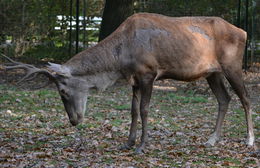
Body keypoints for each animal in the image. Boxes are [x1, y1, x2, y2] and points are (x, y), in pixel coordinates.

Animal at [1, 12, 254, 153]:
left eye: (62, 91)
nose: (74, 120)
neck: (120, 59)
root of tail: (244, 32)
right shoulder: (133, 79)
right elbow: (132, 110)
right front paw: (128, 142)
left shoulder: (148, 73)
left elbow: (144, 109)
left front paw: (142, 146)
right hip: (212, 72)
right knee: (224, 99)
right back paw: (212, 139)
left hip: (232, 64)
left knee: (246, 98)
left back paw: (249, 140)